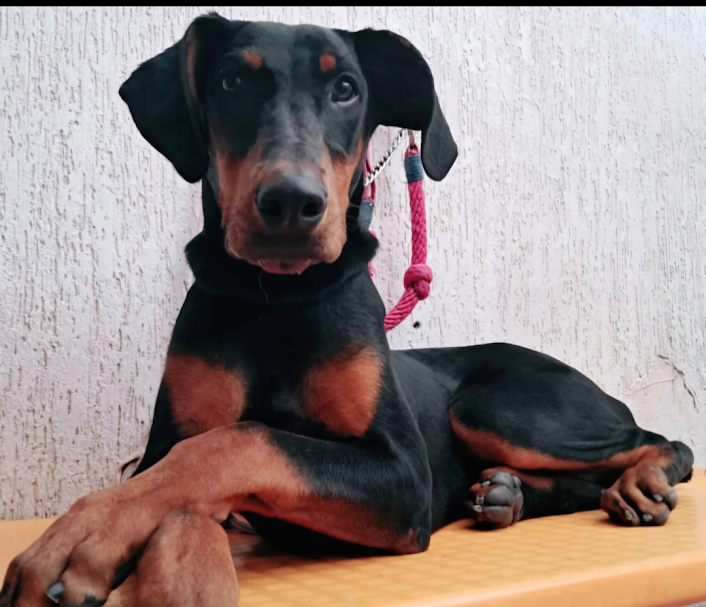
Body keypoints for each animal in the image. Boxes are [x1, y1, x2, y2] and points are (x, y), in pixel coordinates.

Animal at [1, 13, 694, 607]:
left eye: (345, 89)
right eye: (230, 82)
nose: (290, 203)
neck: (276, 297)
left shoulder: (401, 476)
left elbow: (241, 440)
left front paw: (84, 539)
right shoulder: (167, 443)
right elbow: (180, 483)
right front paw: (152, 564)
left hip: (496, 404)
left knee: (662, 440)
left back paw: (637, 481)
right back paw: (508, 493)